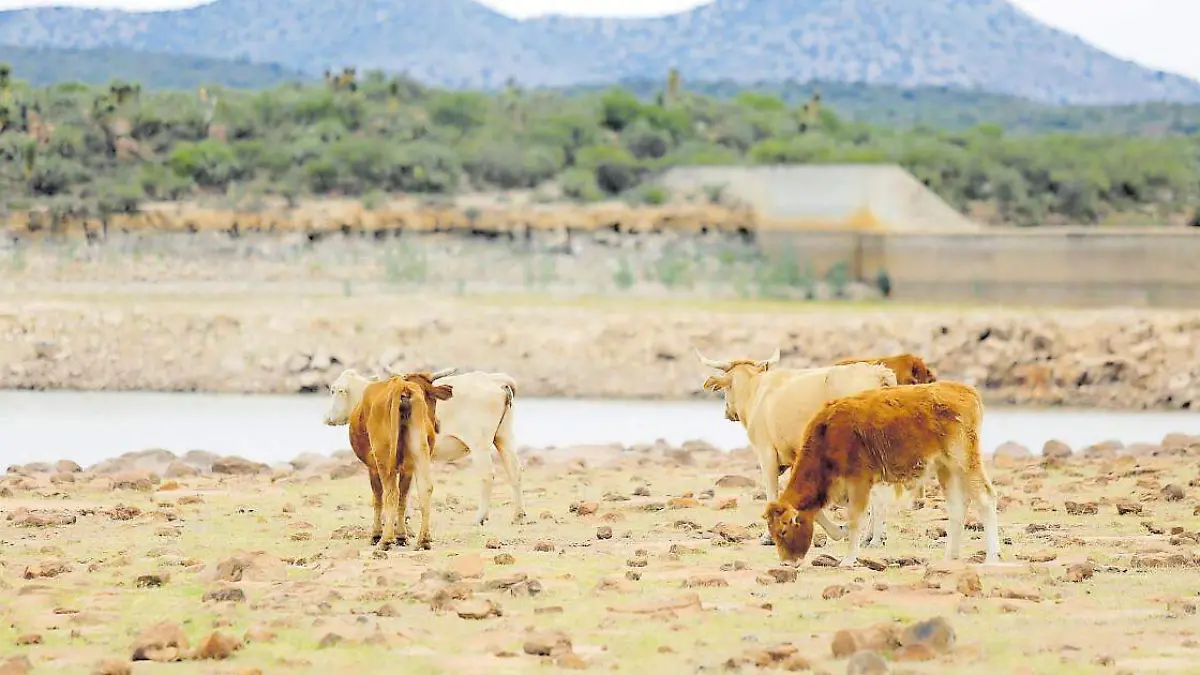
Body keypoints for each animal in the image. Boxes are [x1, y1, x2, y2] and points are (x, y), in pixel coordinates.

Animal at [324, 365, 525, 523]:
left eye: (334, 390)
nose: (328, 418)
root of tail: (495, 380)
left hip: (479, 443)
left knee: (487, 475)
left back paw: (480, 517)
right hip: (503, 436)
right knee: (514, 471)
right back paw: (518, 515)